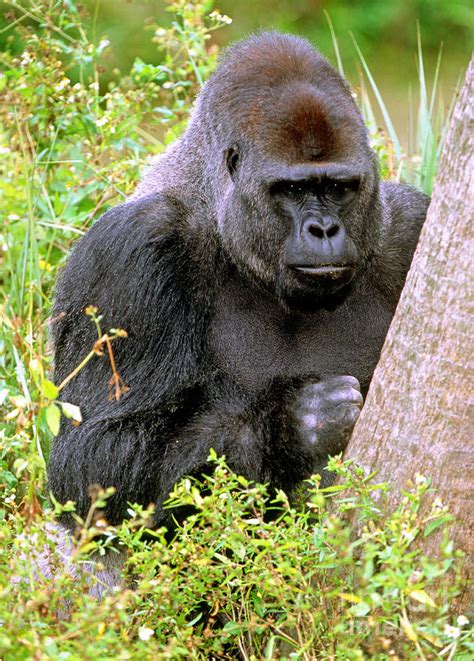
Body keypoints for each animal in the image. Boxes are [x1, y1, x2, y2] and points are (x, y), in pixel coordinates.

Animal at [47, 32, 430, 536]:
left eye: (339, 187)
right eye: (292, 189)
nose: (324, 230)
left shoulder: (409, 226)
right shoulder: (130, 251)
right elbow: (90, 460)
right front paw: (294, 424)